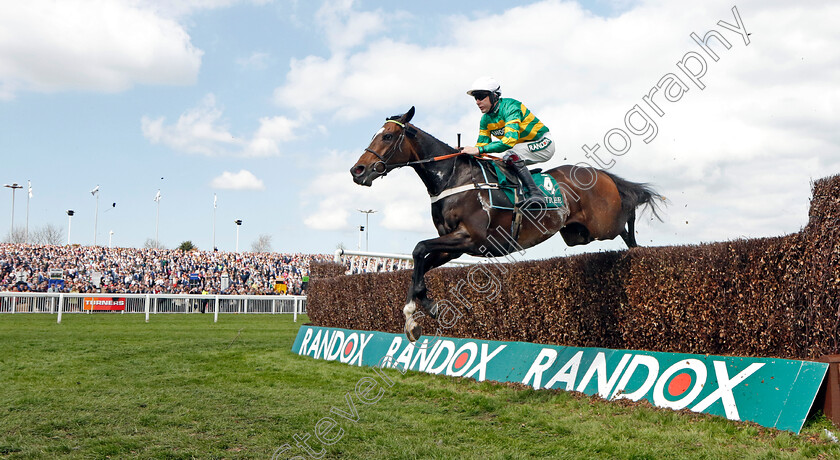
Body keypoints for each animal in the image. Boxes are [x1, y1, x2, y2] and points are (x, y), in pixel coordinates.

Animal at [350, 106, 664, 340]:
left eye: (388, 136)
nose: (358, 170)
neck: (453, 178)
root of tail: (601, 174)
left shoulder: (471, 238)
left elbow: (418, 248)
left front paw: (416, 312)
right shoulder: (453, 247)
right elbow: (421, 262)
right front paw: (419, 312)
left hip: (604, 225)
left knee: (629, 214)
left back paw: (639, 248)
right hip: (578, 234)